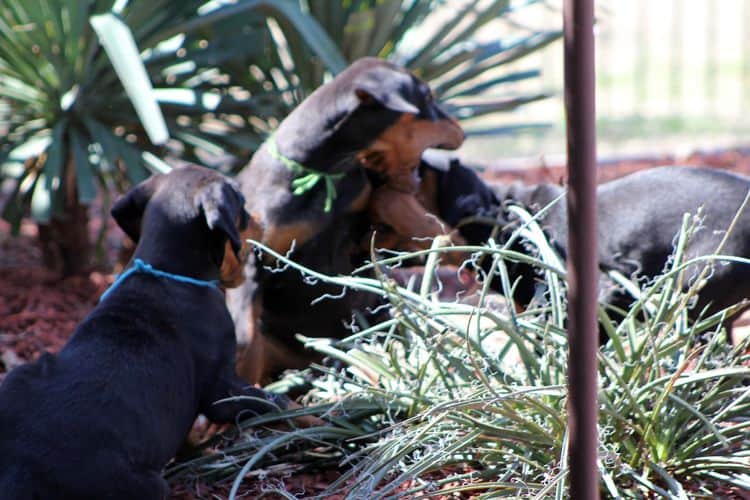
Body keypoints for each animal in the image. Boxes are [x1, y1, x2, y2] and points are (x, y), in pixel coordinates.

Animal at [0, 166, 300, 498]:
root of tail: (19, 471)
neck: (164, 269)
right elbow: (269, 400)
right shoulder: (221, 385)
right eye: (243, 205)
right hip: (143, 484)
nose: (263, 221)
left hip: (17, 376)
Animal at [229, 57, 464, 382]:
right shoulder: (252, 257)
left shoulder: (362, 226)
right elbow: (246, 335)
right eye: (427, 97)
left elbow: (384, 207)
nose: (462, 130)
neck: (323, 171)